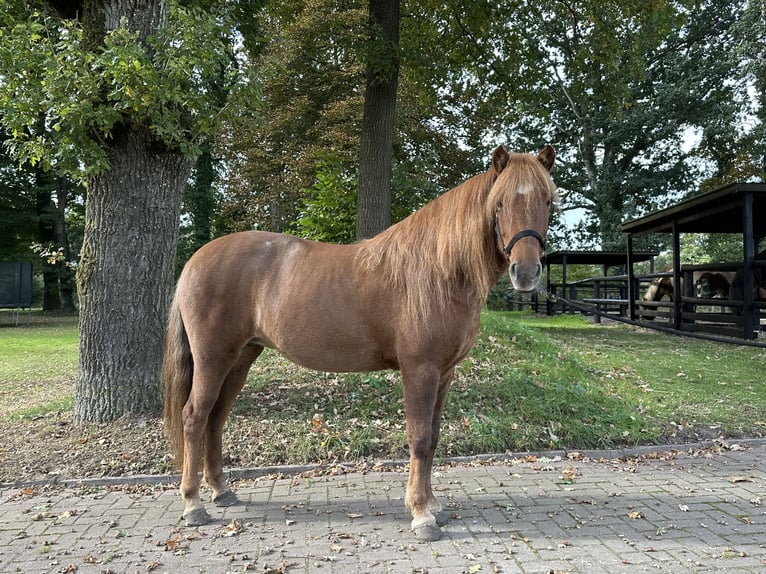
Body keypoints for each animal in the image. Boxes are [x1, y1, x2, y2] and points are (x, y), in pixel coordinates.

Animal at [162, 145, 557, 542]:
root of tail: (195, 261)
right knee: (195, 417)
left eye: (548, 201)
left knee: (216, 419)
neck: (439, 271)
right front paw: (421, 515)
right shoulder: (420, 370)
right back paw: (193, 505)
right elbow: (419, 438)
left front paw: (432, 506)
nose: (525, 273)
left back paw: (221, 491)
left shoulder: (444, 374)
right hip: (213, 358)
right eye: (500, 204)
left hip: (241, 358)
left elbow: (432, 438)